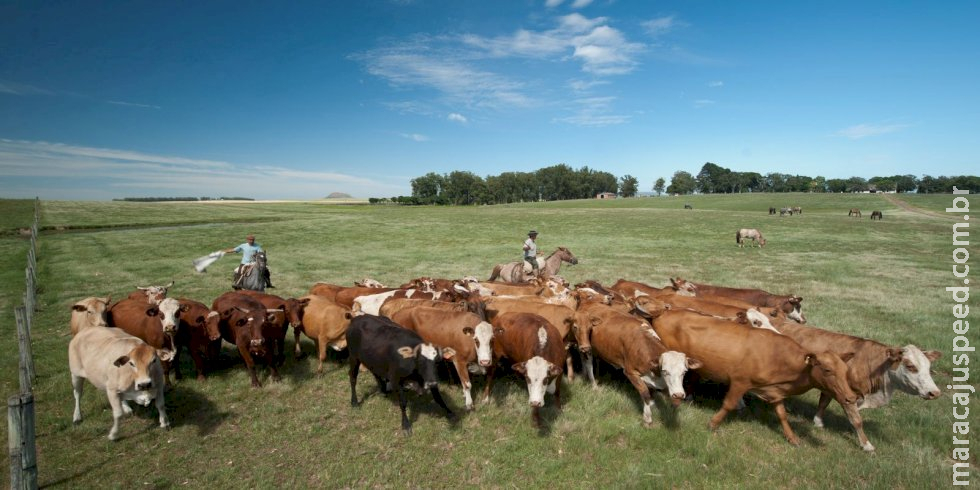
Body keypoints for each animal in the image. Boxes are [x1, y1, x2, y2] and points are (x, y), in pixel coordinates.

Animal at [656, 310, 860, 448]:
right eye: (827, 370)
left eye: (845, 370)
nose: (851, 398)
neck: (777, 356)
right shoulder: (740, 382)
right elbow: (728, 404)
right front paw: (713, 424)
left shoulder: (775, 391)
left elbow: (782, 414)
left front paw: (792, 437)